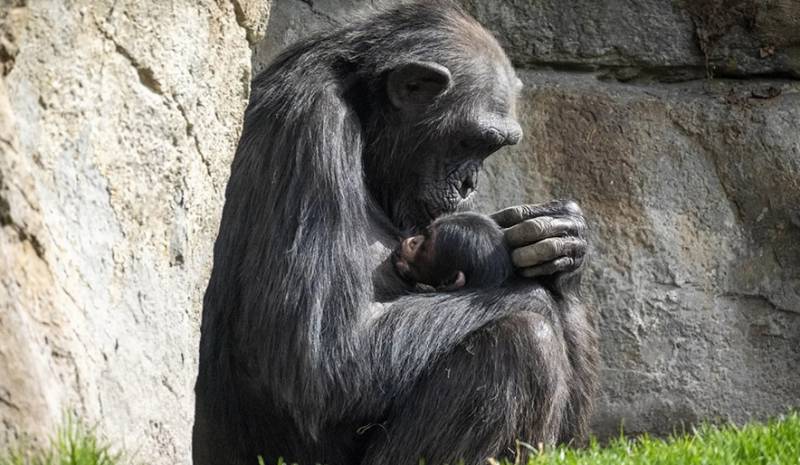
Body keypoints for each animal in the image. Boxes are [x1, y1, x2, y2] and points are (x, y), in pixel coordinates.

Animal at [192, 1, 592, 462]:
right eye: (470, 142)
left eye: (492, 148)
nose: (470, 183)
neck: (365, 122)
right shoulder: (309, 129)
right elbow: (322, 361)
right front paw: (533, 292)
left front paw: (561, 243)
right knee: (524, 341)